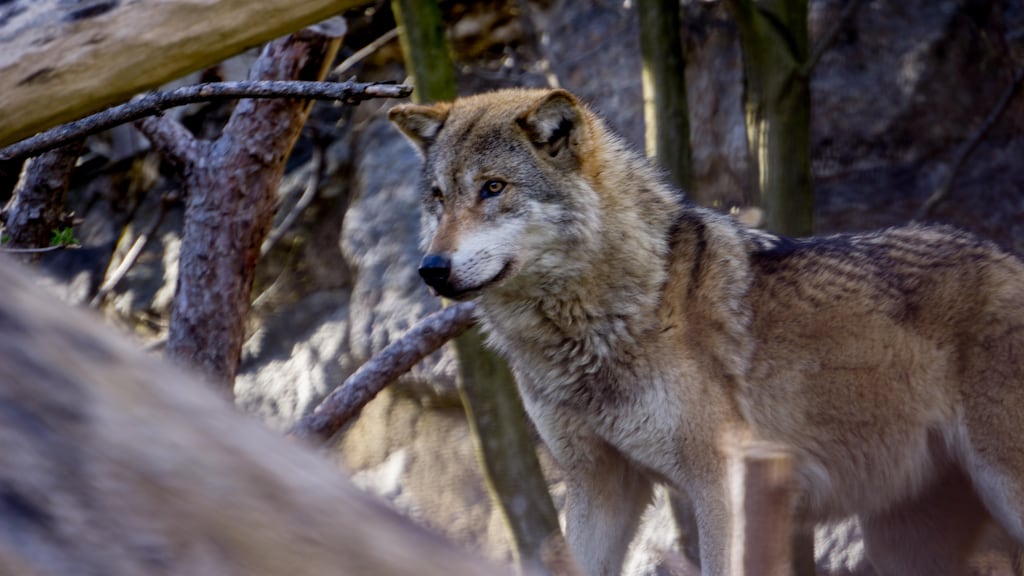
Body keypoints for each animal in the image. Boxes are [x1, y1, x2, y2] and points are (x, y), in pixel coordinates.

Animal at [389, 88, 1024, 576]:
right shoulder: (599, 486)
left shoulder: (724, 480)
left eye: (493, 188)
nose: (431, 269)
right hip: (903, 540)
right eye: (438, 198)